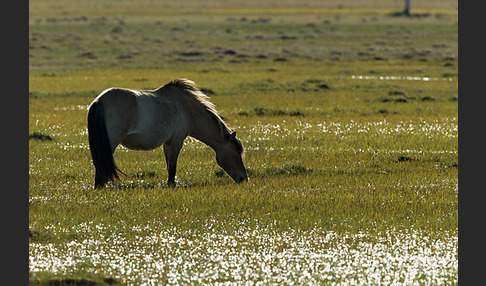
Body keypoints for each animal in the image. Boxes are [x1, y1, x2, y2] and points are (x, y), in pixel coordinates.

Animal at [85, 77, 249, 188]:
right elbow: (172, 166)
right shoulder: (177, 140)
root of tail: (99, 101)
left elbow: (168, 164)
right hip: (110, 143)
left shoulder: (168, 142)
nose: (244, 179)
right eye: (236, 153)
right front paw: (171, 185)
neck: (187, 109)